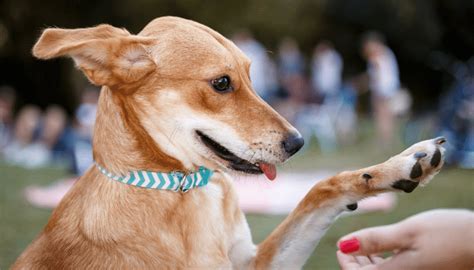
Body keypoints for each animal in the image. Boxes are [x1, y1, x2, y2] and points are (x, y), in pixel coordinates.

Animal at [12, 17, 446, 270]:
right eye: (222, 83)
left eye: (252, 75)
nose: (298, 142)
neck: (185, 194)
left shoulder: (256, 262)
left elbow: (320, 190)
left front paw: (394, 168)